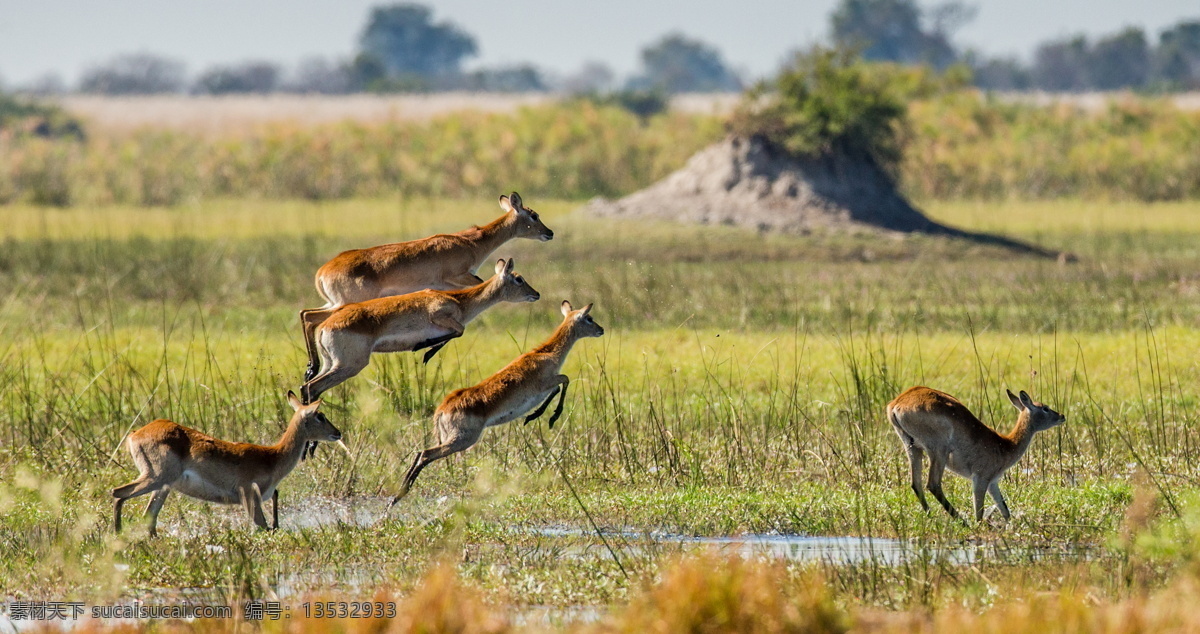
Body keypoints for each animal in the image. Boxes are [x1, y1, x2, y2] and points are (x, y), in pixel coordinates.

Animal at [112, 391, 345, 537]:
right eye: (320, 416)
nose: (338, 432)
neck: (272, 457)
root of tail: (135, 434)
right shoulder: (249, 496)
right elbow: (263, 527)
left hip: (163, 486)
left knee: (148, 516)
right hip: (156, 478)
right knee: (118, 493)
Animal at [300, 192, 553, 381]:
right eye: (533, 215)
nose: (549, 232)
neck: (471, 242)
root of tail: (322, 271)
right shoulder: (457, 278)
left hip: (332, 303)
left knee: (306, 314)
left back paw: (311, 368)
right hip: (344, 304)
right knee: (310, 317)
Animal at [300, 258, 540, 404]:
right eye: (519, 279)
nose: (536, 294)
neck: (459, 301)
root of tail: (326, 327)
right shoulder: (440, 315)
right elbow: (460, 330)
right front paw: (423, 348)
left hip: (332, 363)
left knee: (310, 386)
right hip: (348, 365)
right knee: (311, 387)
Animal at [390, 300, 604, 504]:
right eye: (589, 318)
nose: (601, 330)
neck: (546, 354)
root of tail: (441, 410)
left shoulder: (548, 386)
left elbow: (559, 387)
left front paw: (535, 416)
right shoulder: (547, 382)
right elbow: (565, 380)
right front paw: (549, 417)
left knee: (420, 454)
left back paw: (396, 496)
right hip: (462, 439)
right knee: (425, 454)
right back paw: (397, 497)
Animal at [887, 386, 1065, 522]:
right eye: (1045, 408)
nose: (1062, 416)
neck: (1005, 445)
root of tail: (897, 403)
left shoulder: (993, 482)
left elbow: (1004, 510)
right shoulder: (980, 479)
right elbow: (979, 512)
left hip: (913, 447)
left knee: (916, 483)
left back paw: (932, 517)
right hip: (938, 451)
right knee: (933, 484)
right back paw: (962, 522)